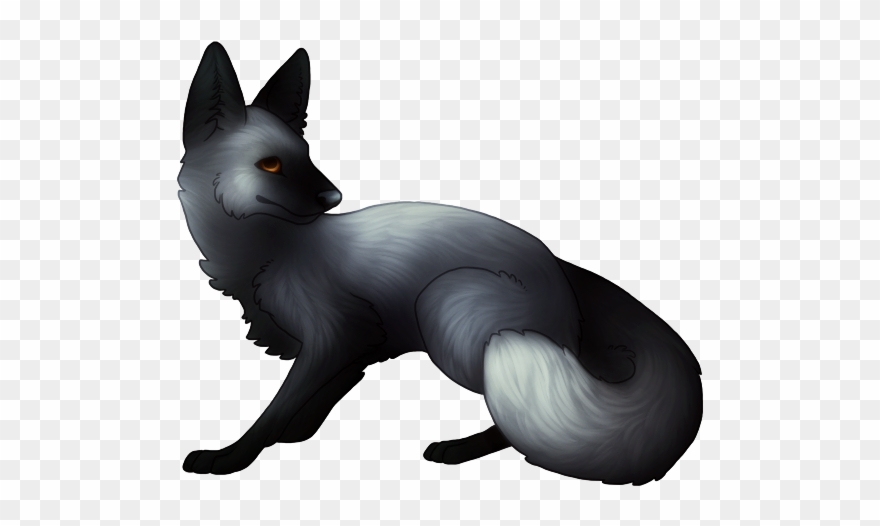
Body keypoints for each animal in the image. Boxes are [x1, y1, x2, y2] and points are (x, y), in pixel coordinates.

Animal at [177, 42, 703, 484]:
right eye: (270, 164)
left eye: (306, 156)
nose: (333, 197)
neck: (271, 255)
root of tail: (559, 271)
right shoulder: (357, 346)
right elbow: (316, 399)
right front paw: (296, 435)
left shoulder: (339, 334)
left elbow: (275, 409)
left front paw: (232, 457)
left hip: (448, 313)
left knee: (511, 423)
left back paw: (458, 449)